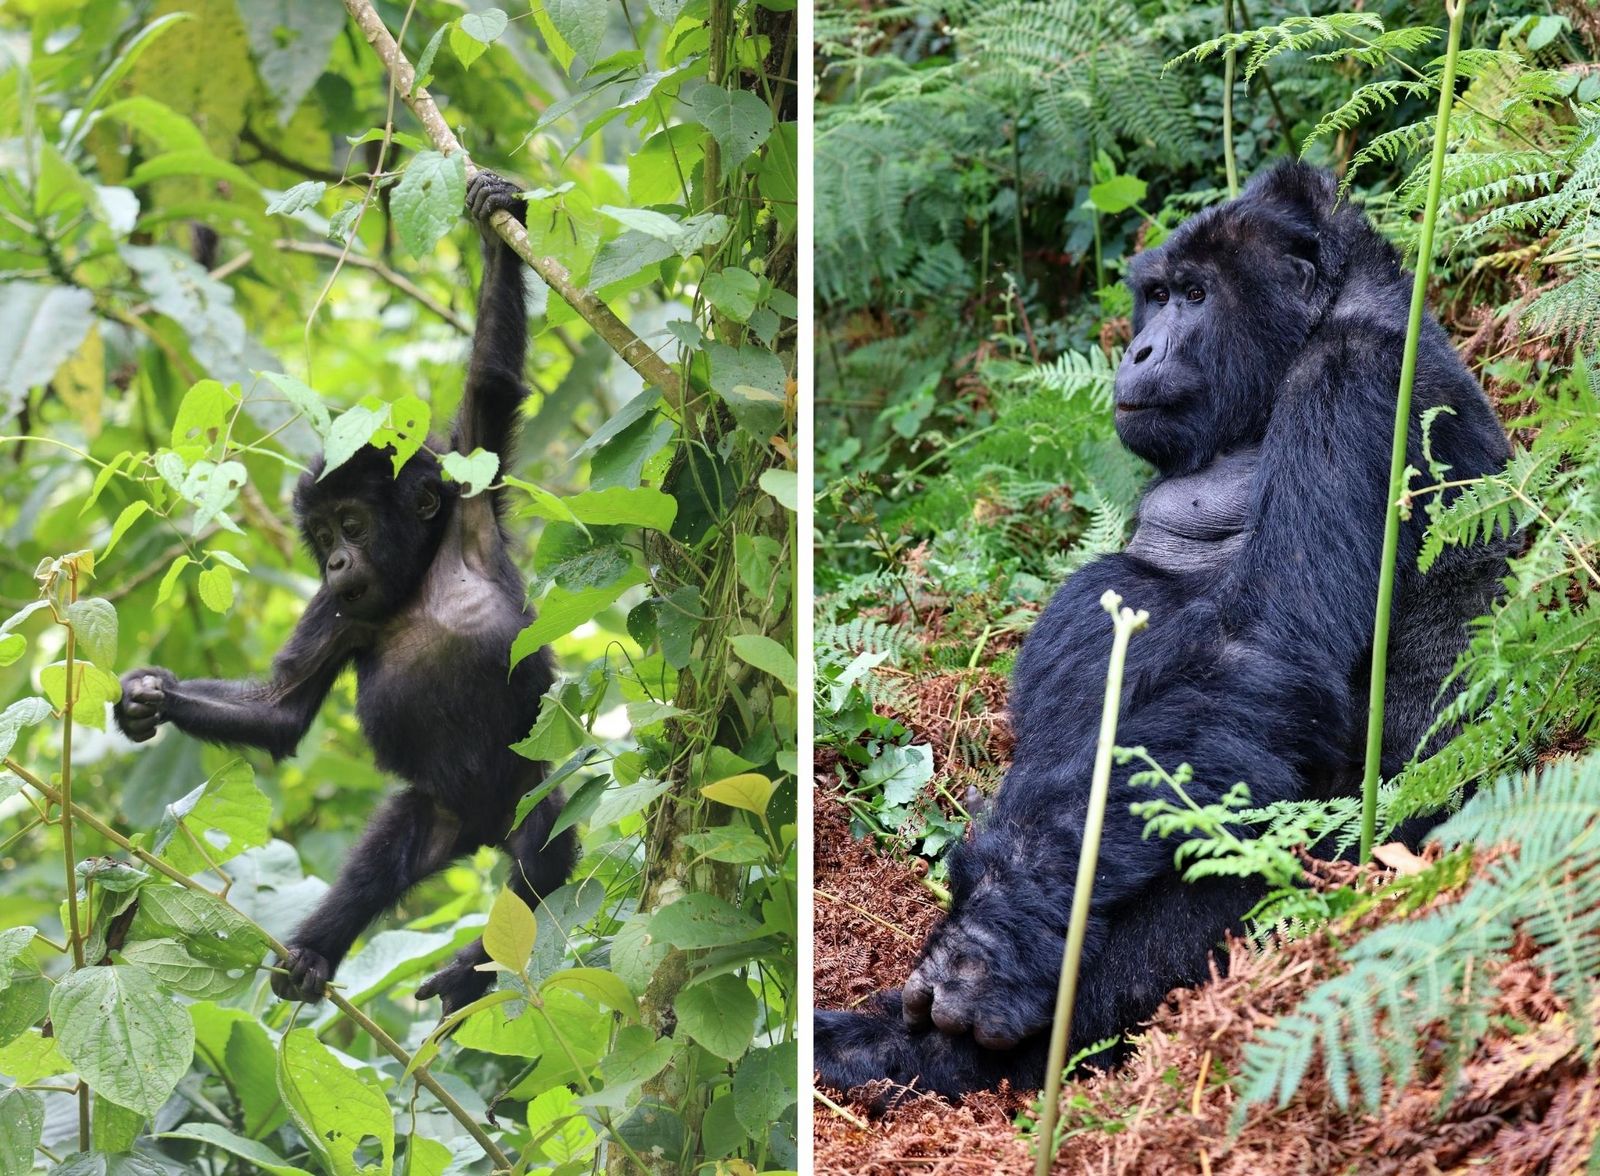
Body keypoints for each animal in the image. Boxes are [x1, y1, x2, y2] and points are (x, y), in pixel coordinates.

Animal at [109, 170, 569, 1017]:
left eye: (351, 524)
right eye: (320, 538)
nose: (335, 562)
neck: (416, 582)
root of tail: (483, 829)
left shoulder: (471, 502)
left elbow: (490, 385)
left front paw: (496, 218)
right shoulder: (339, 615)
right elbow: (282, 709)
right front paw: (144, 697)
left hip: (533, 783)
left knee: (545, 843)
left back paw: (470, 967)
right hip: (440, 811)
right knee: (385, 856)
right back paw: (313, 956)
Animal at [819, 163, 1504, 1100]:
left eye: (1196, 296)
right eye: (1156, 297)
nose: (1137, 352)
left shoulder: (1358, 383)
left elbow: (1260, 649)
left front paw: (991, 943)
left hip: (1370, 852)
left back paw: (923, 1055)